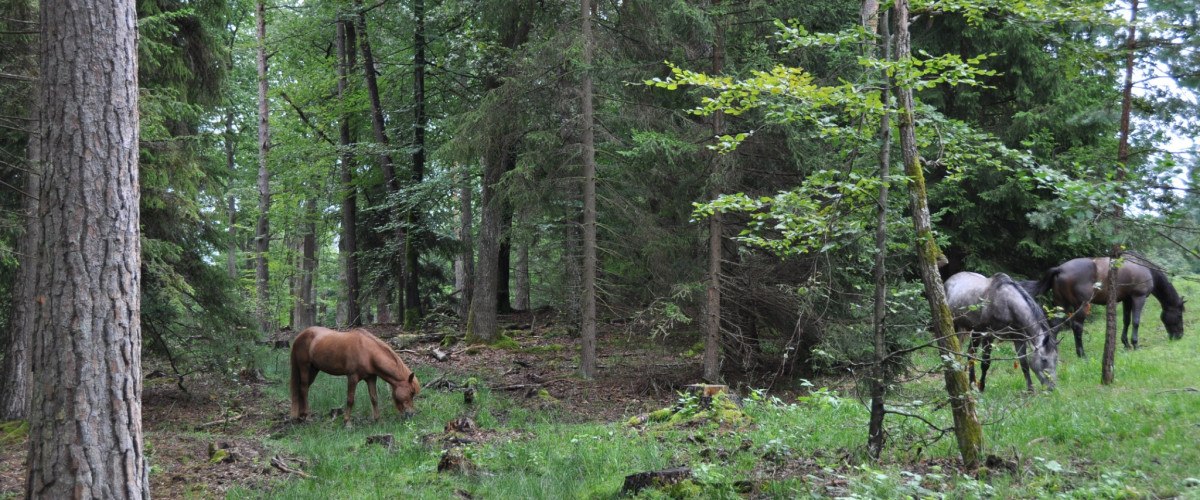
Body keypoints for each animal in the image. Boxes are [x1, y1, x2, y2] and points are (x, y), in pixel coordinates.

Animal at [290, 326, 421, 426]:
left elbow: (374, 398)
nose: (411, 414)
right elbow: (350, 400)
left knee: (302, 389)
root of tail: (300, 335)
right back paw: (307, 416)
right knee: (304, 388)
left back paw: (301, 416)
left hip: (314, 369)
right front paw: (347, 422)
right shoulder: (352, 377)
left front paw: (377, 420)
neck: (368, 352)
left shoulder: (371, 378)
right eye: (411, 393)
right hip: (305, 367)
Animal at [1028, 255, 1185, 358]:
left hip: (1061, 305)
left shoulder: (1127, 300)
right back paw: (1082, 354)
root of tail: (1060, 269)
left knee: (1055, 326)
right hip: (1081, 306)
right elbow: (1136, 322)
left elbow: (1126, 321)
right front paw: (1135, 344)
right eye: (1179, 314)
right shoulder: (1138, 298)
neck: (1144, 268)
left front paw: (1126, 344)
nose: (1179, 336)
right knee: (1077, 327)